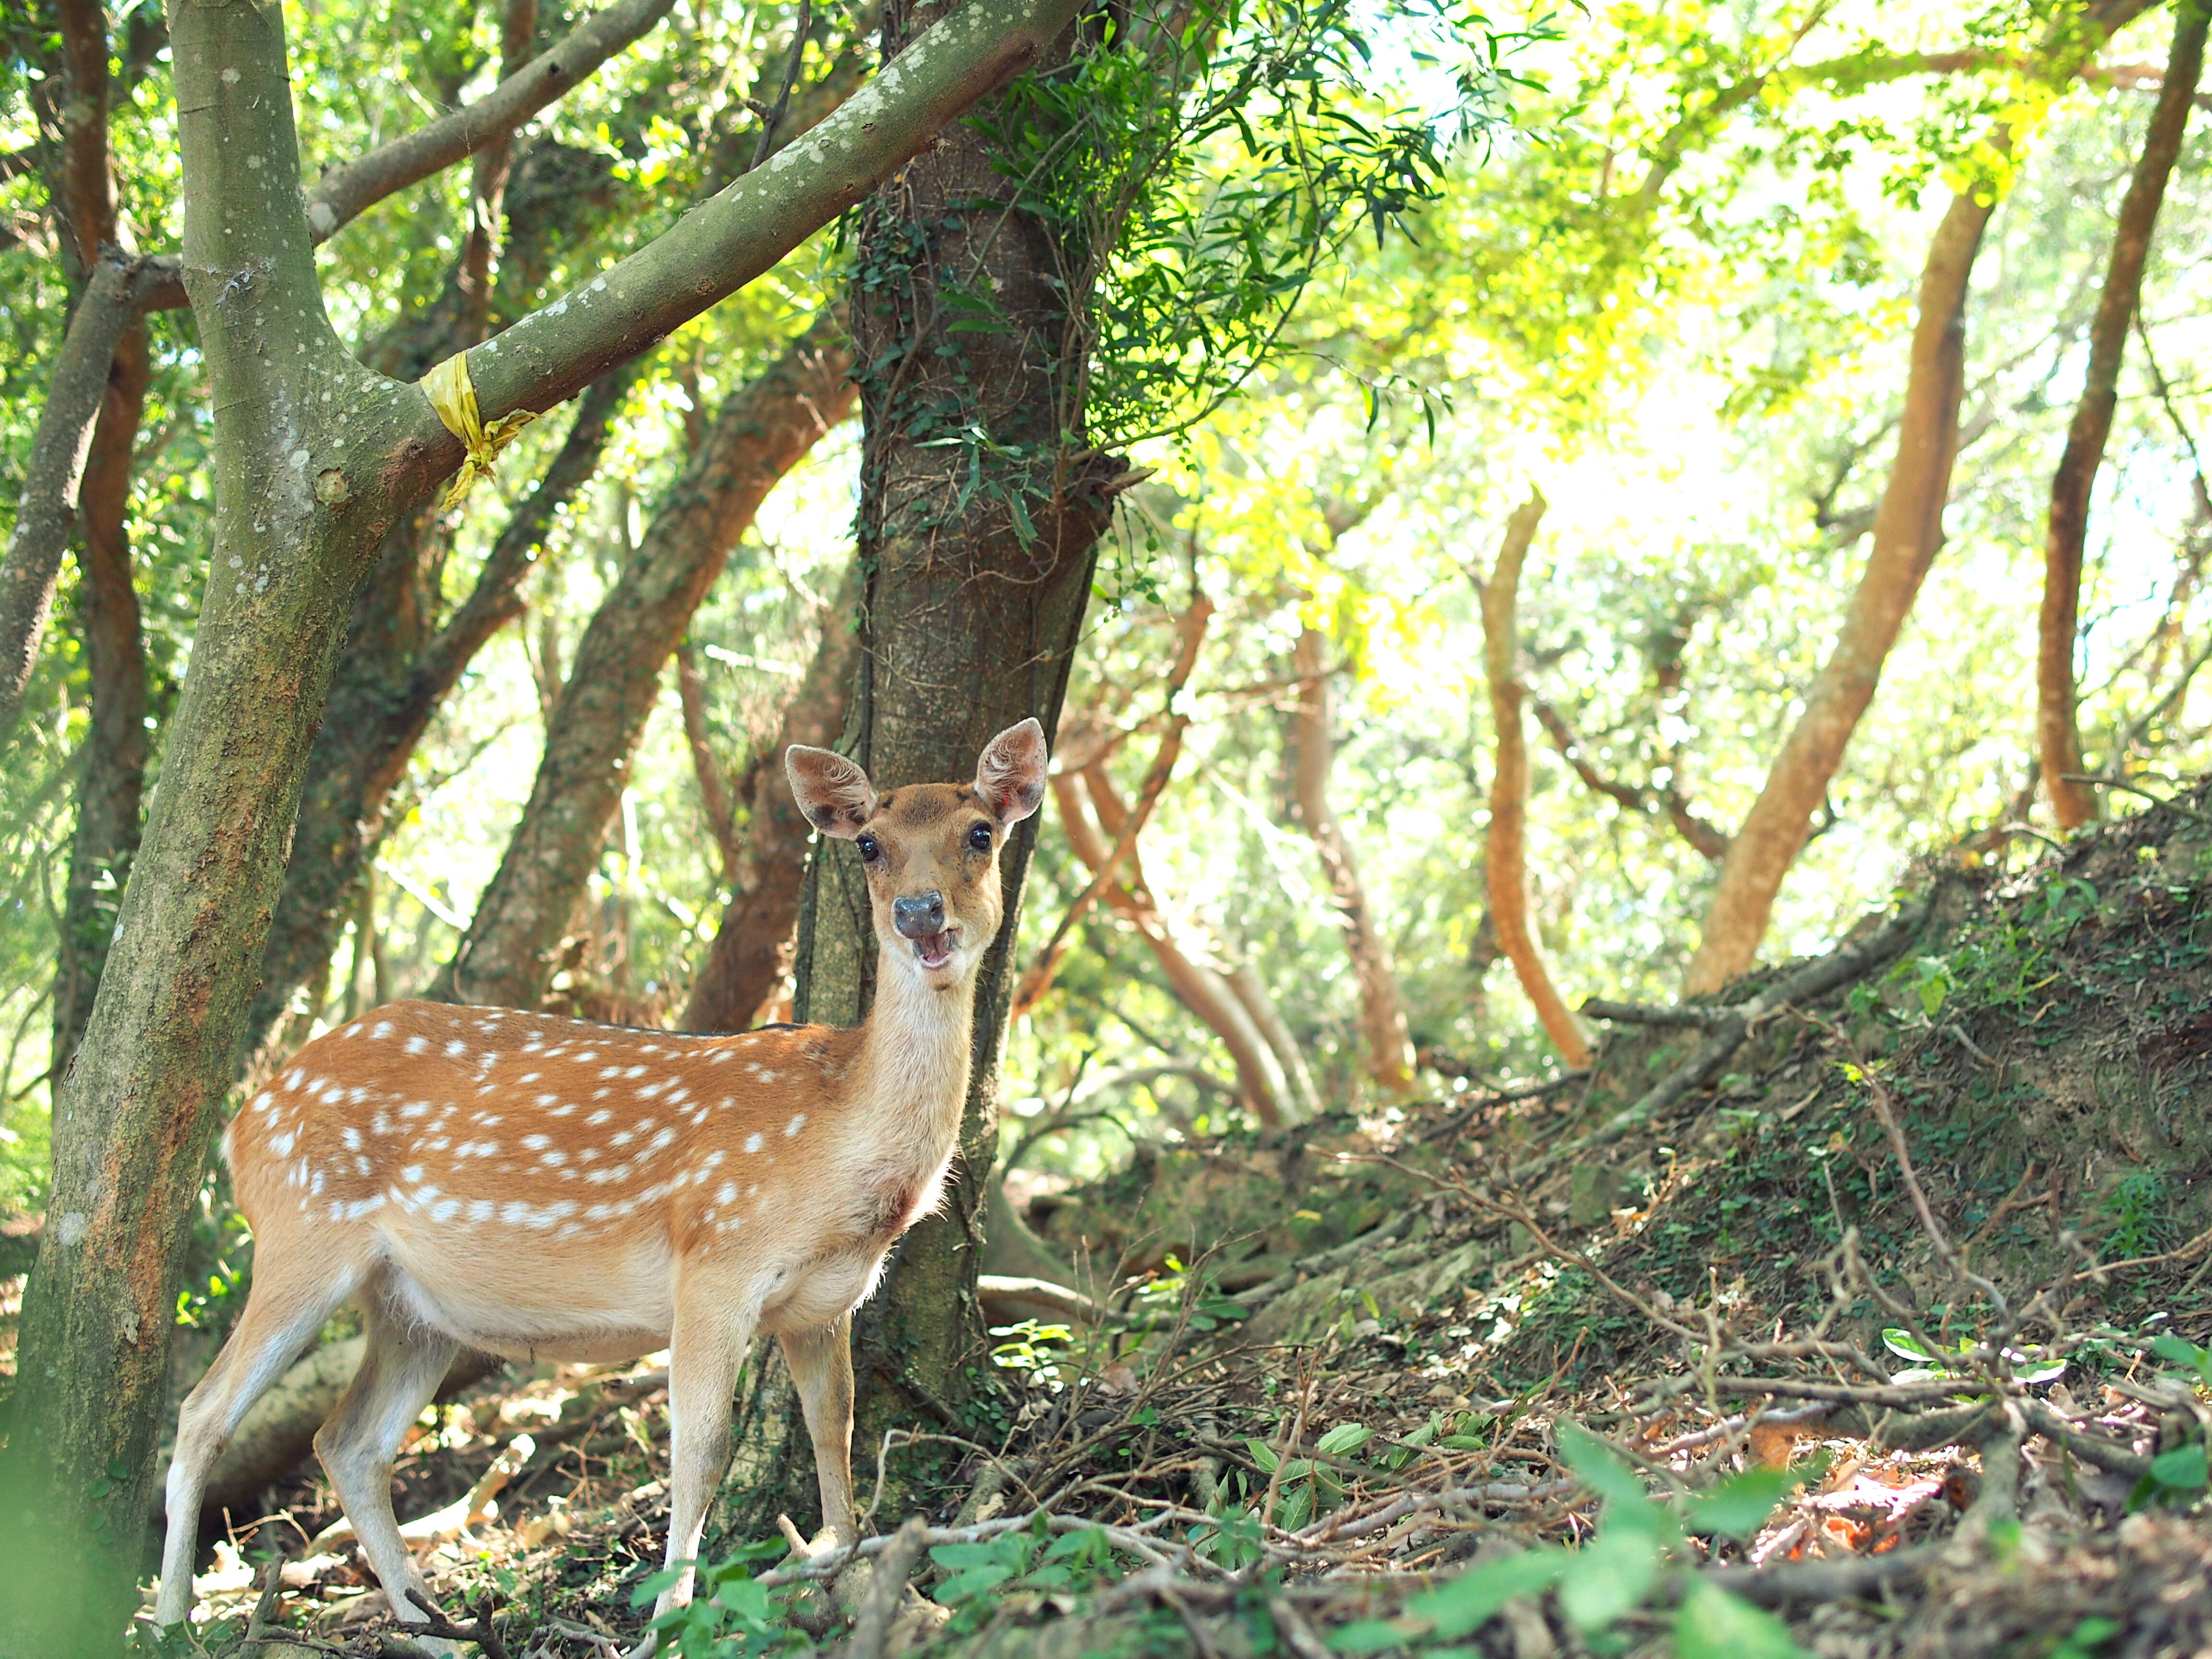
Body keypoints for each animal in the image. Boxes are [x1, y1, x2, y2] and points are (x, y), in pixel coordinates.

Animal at [158, 725, 1053, 1654]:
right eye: (871, 844)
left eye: (980, 833)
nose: (919, 913)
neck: (841, 1161)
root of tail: (240, 1124)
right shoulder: (716, 1261)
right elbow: (701, 1448)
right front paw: (668, 1622)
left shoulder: (820, 1305)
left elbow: (831, 1429)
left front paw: (837, 1569)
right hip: (302, 1229)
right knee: (202, 1414)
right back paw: (172, 1620)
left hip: (412, 1307)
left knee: (348, 1443)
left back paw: (434, 1628)